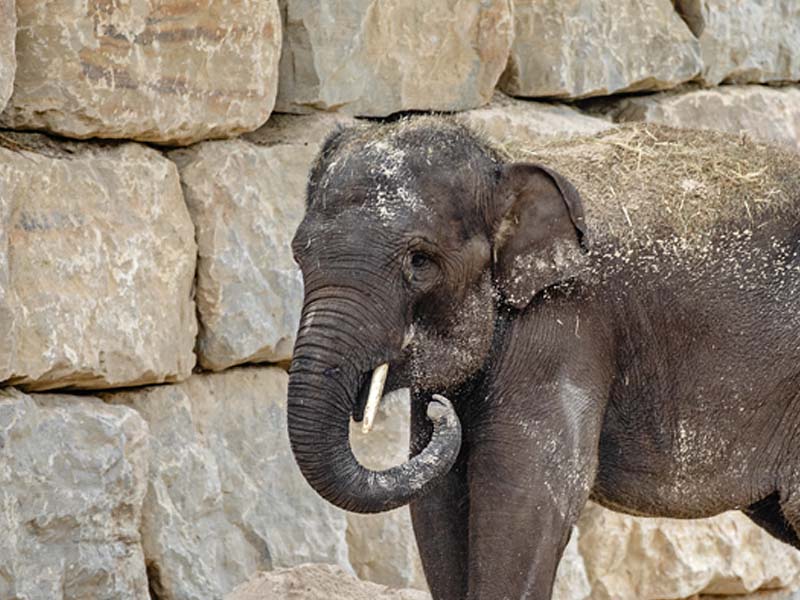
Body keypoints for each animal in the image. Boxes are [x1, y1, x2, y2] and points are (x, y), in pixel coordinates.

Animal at [286, 117, 800, 599]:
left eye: (419, 261)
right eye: (299, 256)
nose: (439, 411)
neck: (503, 160)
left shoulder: (563, 326)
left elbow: (527, 492)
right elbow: (439, 498)